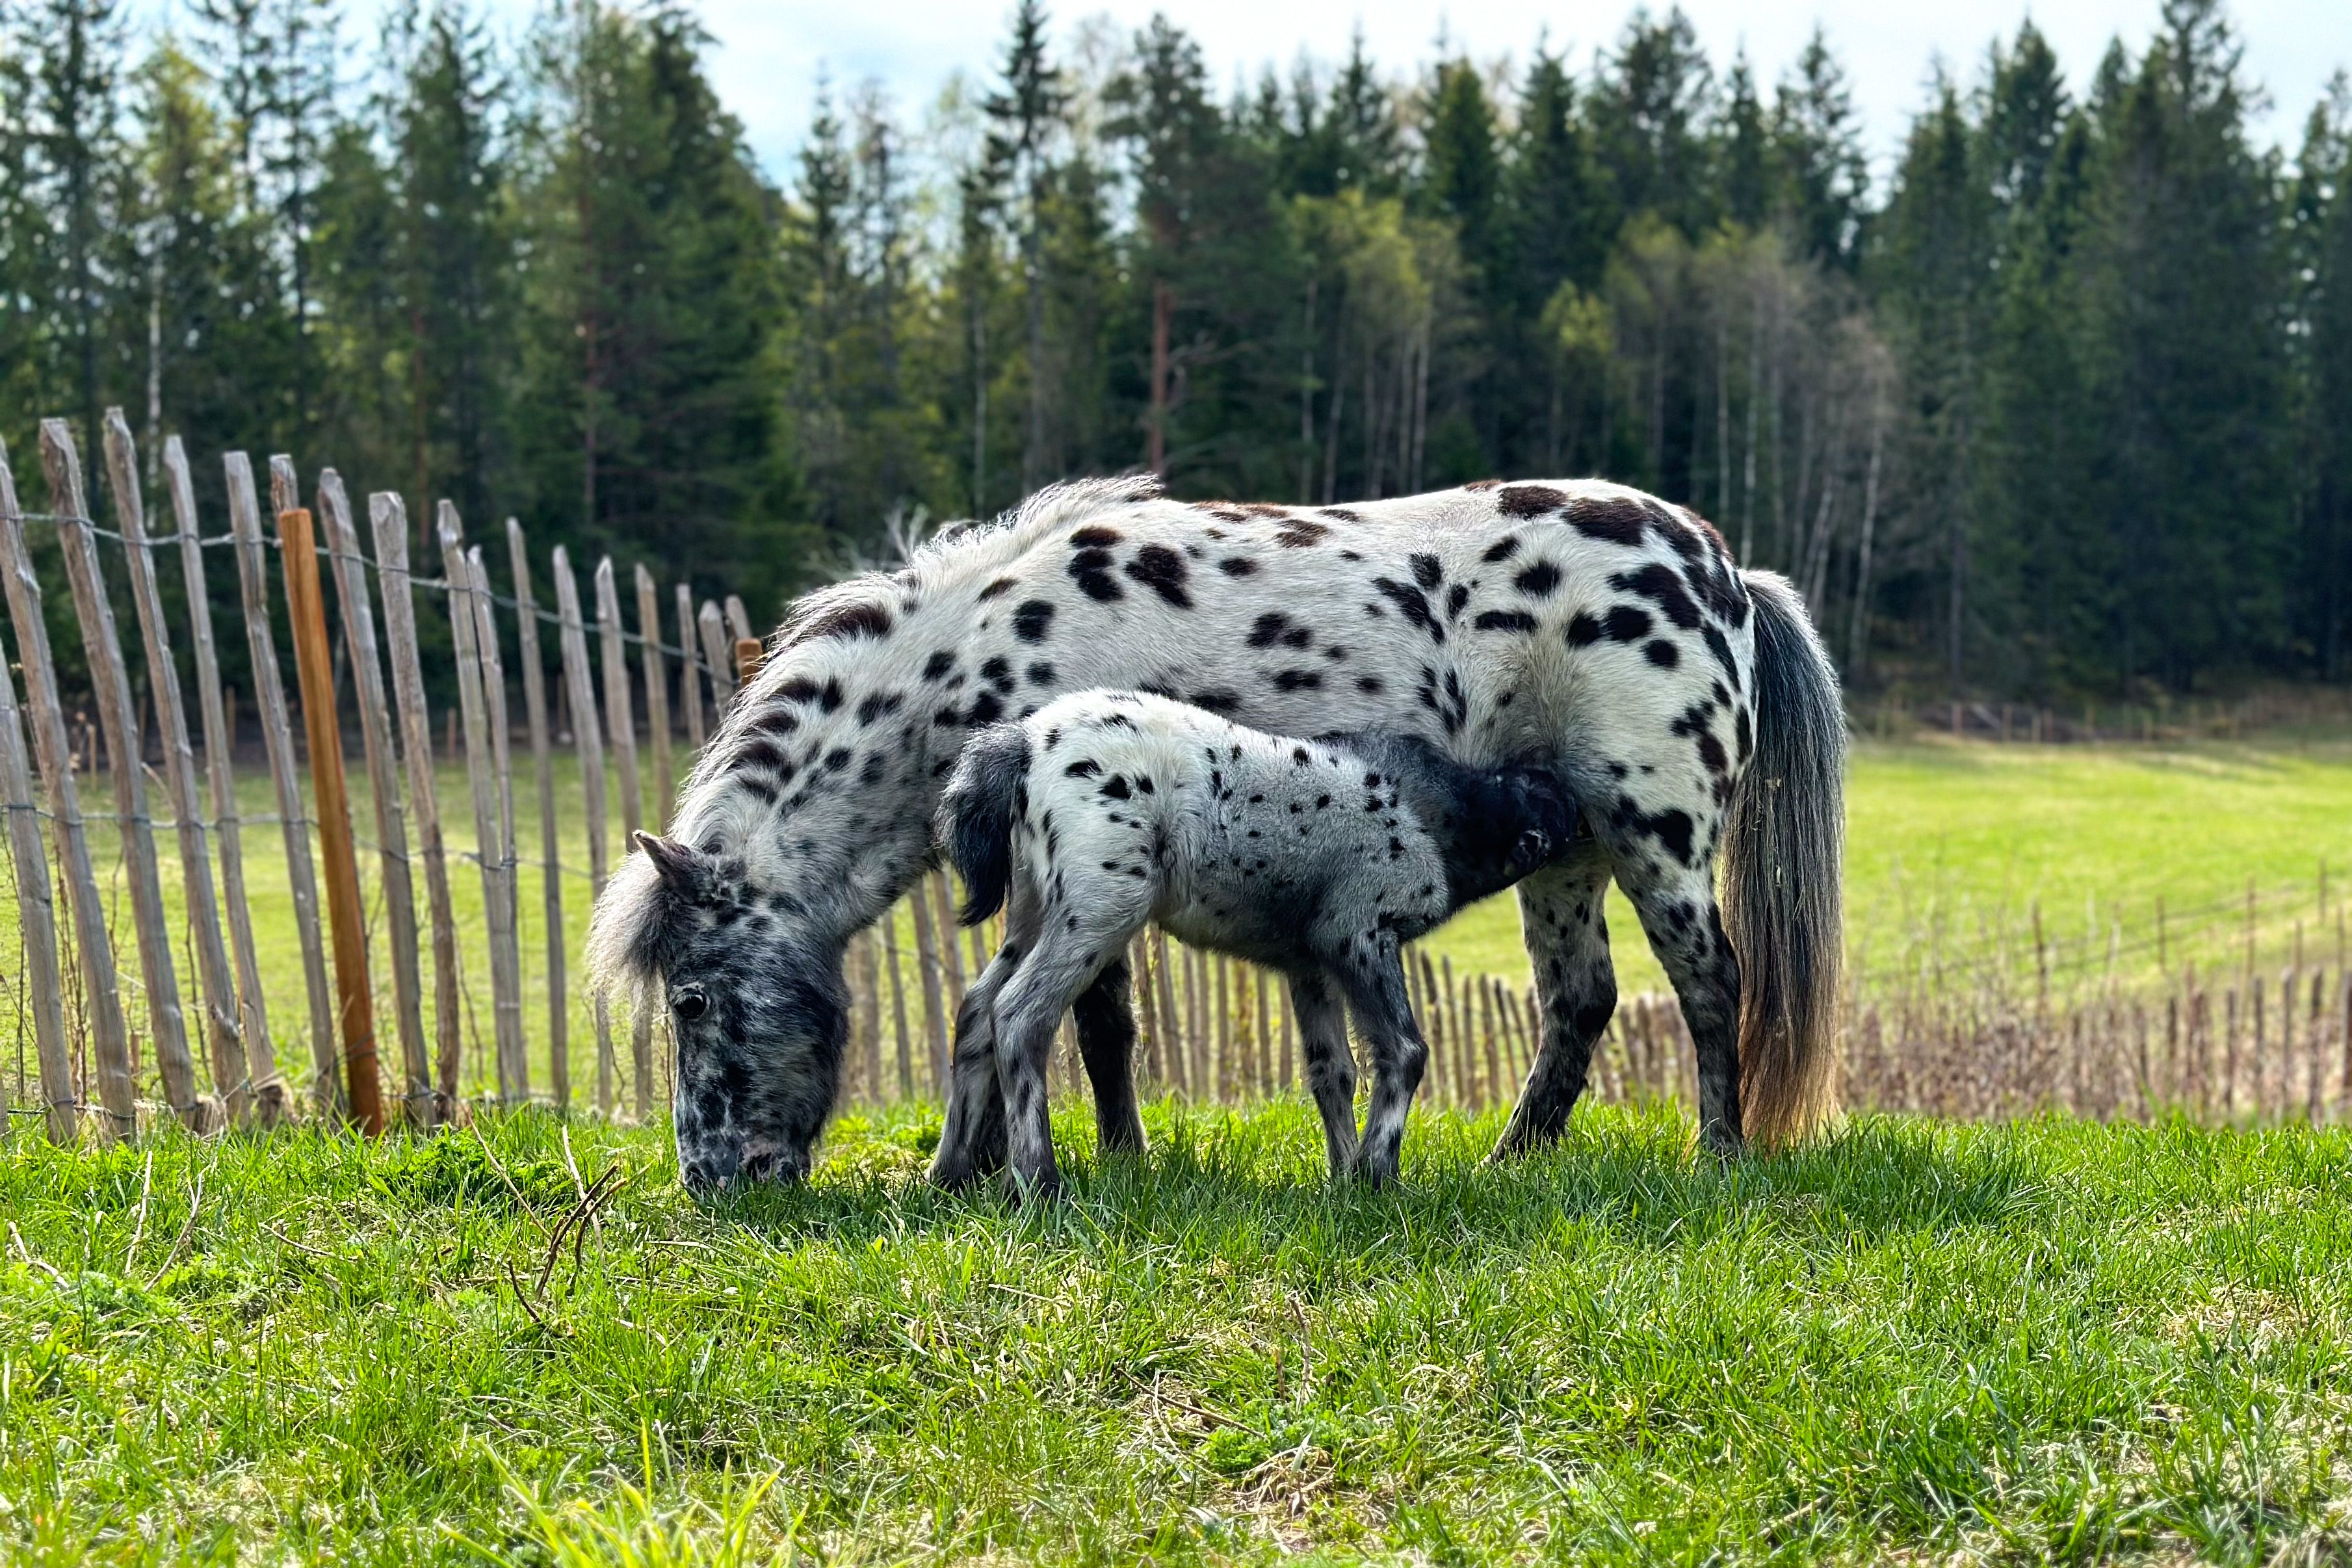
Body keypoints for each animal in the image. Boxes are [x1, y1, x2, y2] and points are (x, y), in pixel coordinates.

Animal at [934, 689, 1579, 1194]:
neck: (1446, 815)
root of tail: (1025, 743)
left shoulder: (1311, 964)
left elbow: (1333, 1070)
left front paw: (1343, 1178)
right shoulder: (1360, 933)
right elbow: (1404, 1050)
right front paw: (1377, 1176)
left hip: (1035, 910)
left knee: (976, 1011)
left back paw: (951, 1175)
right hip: (1100, 909)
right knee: (1019, 1014)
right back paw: (1037, 1183)